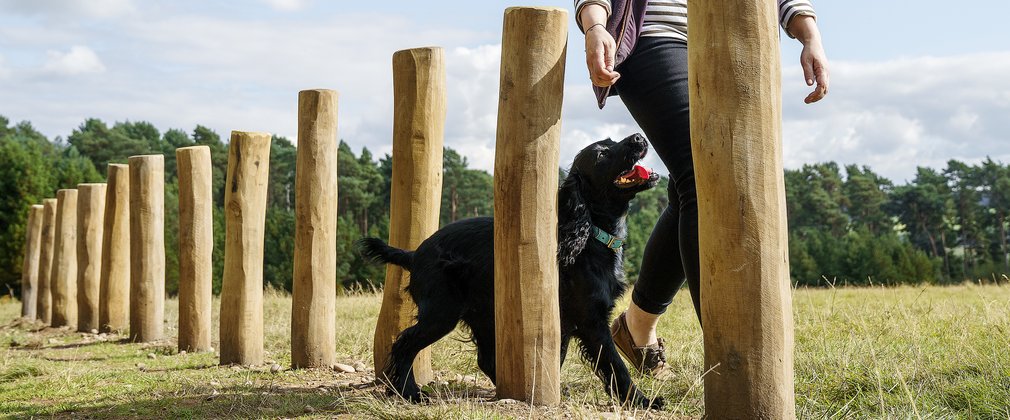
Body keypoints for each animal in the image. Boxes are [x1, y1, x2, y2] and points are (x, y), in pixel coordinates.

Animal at [361, 133, 662, 407]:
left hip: (481, 314)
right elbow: (615, 365)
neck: (590, 237)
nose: (638, 137)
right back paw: (408, 391)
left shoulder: (563, 323)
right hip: (441, 312)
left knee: (483, 358)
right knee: (404, 343)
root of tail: (414, 254)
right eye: (601, 155)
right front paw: (642, 401)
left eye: (610, 141)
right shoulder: (591, 321)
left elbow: (555, 358)